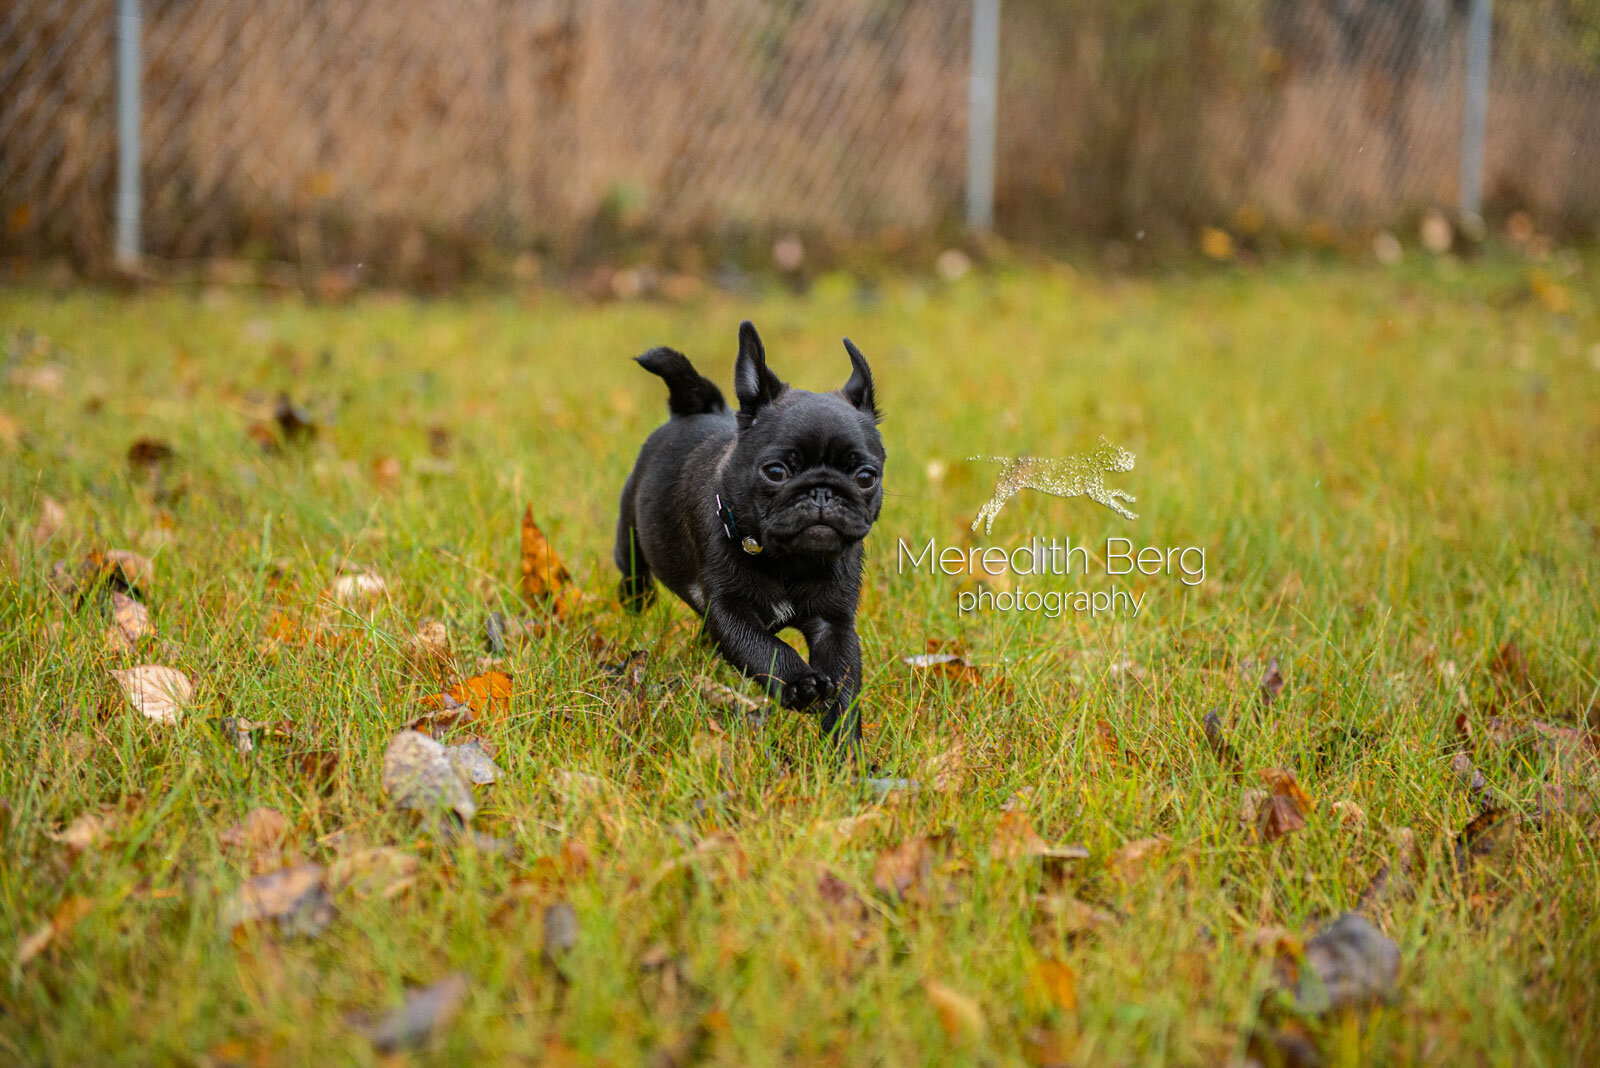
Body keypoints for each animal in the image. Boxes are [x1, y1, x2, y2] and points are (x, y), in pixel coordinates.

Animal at [614, 319, 889, 741]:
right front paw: (800, 684)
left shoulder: (834, 624)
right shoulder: (730, 610)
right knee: (635, 577)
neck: (790, 561)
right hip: (630, 539)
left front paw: (845, 748)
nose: (822, 491)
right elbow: (765, 648)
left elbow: (844, 687)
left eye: (865, 477)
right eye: (775, 471)